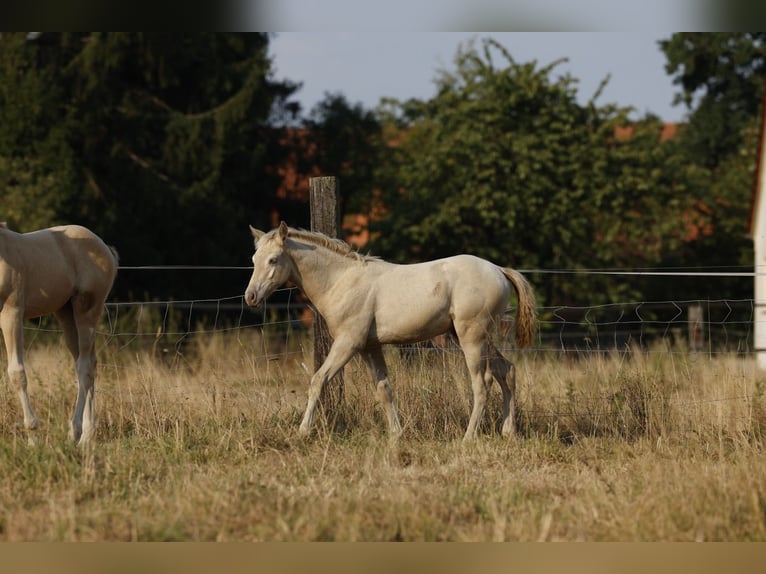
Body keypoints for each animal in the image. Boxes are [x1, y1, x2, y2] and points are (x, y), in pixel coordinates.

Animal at [0, 223, 118, 445]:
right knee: (89, 363)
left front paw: (32, 438)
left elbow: (17, 372)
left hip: (87, 312)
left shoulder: (12, 312)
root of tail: (105, 248)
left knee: (85, 367)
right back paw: (87, 433)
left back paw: (78, 434)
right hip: (66, 314)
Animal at [244, 221, 537, 440]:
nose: (251, 296)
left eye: (273, 260)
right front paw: (396, 435)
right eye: (254, 259)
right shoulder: (369, 347)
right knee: (507, 371)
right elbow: (384, 389)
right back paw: (508, 431)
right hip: (478, 338)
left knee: (482, 383)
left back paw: (468, 437)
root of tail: (498, 270)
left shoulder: (348, 343)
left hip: (471, 338)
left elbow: (318, 380)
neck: (342, 281)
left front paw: (303, 431)